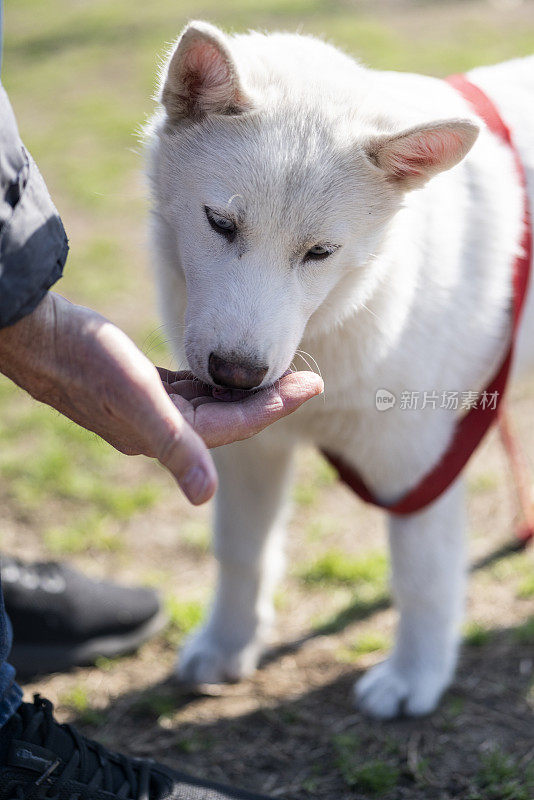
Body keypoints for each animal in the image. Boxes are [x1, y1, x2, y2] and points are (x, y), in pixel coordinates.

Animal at [147, 21, 534, 720]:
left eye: (320, 252)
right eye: (220, 223)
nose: (238, 375)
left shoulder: (418, 467)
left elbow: (422, 579)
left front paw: (414, 677)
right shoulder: (251, 451)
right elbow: (240, 552)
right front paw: (228, 644)